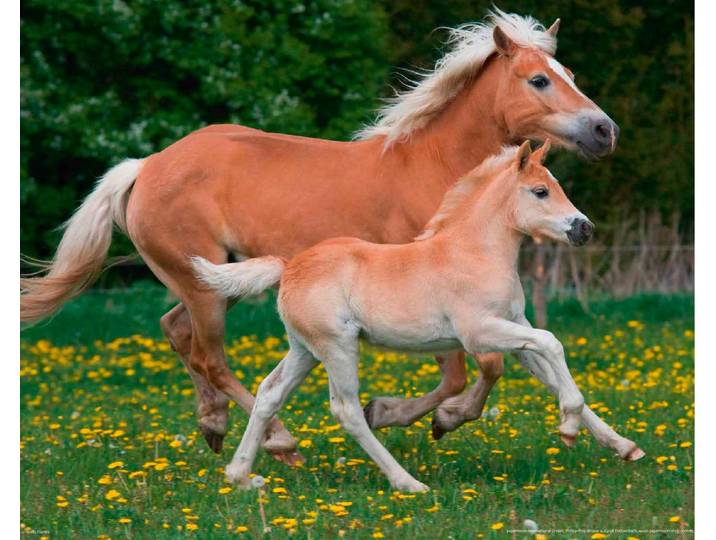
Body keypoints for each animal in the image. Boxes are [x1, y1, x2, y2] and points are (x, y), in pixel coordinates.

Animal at [21, 10, 624, 464]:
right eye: (538, 79)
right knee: (211, 356)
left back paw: (214, 425)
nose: (604, 130)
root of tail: (145, 167)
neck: (438, 171)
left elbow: (532, 366)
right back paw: (280, 442)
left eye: (569, 71)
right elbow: (473, 374)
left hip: (210, 280)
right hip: (205, 288)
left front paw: (618, 444)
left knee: (177, 333)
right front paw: (410, 417)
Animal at [193, 141, 643, 492]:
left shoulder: (517, 328)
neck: (475, 252)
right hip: (337, 346)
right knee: (347, 410)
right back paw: (408, 482)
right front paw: (567, 428)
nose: (584, 229)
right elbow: (553, 343)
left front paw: (622, 446)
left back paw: (241, 476)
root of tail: (289, 267)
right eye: (540, 191)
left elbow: (550, 370)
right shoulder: (480, 333)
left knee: (269, 393)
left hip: (304, 349)